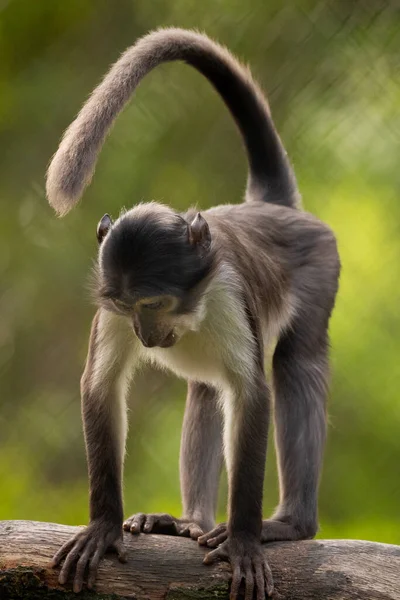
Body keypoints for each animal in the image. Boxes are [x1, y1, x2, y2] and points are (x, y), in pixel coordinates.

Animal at [47, 27, 340, 600]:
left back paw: (289, 524)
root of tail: (272, 209)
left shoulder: (228, 289)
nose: (145, 334)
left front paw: (245, 540)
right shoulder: (111, 304)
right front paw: (102, 527)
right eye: (126, 307)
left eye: (155, 304)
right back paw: (189, 522)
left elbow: (252, 395)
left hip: (321, 269)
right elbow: (101, 387)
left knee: (295, 365)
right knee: (207, 388)